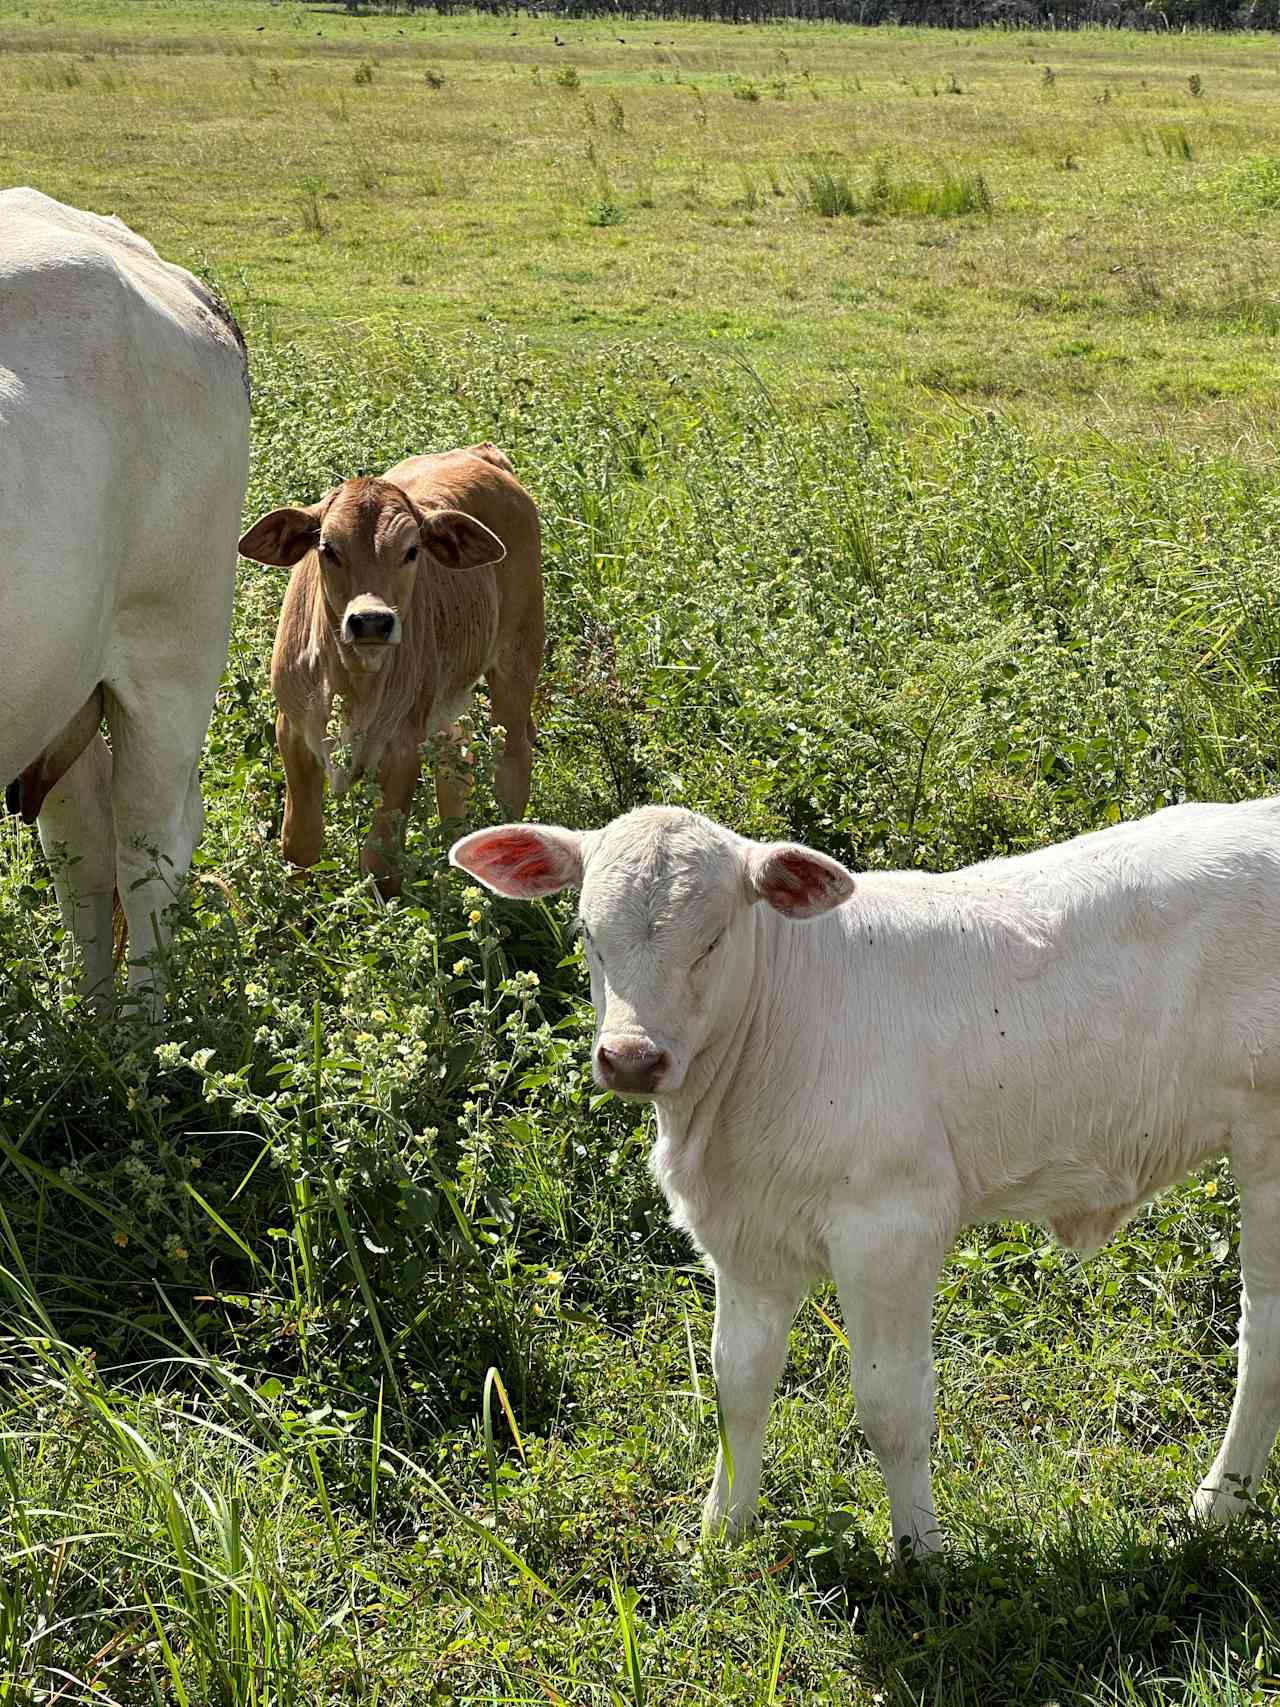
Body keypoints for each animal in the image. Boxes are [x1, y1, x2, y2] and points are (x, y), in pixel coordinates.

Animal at [0, 186, 250, 1010]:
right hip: (60, 678)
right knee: (82, 849)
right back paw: (94, 1020)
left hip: (173, 649)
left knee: (149, 849)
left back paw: (142, 1031)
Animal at [242, 443, 546, 894]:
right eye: (329, 549)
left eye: (411, 550)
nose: (371, 621)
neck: (351, 680)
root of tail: (480, 454)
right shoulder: (292, 730)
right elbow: (300, 841)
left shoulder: (402, 746)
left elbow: (380, 861)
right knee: (457, 753)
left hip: (518, 656)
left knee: (512, 759)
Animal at [457, 798, 1280, 1563]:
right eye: (588, 935)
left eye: (713, 940)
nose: (631, 1058)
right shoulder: (745, 1237)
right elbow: (738, 1386)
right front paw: (722, 1534)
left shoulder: (890, 1226)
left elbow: (892, 1405)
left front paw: (921, 1555)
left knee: (1263, 1335)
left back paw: (1217, 1507)